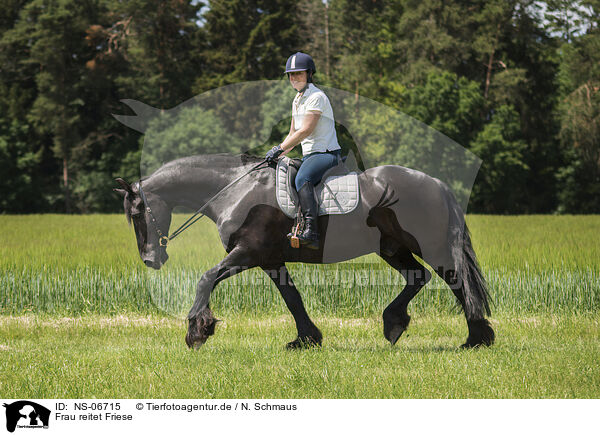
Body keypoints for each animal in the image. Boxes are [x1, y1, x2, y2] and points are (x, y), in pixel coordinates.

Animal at [115, 153, 494, 350]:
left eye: (137, 213)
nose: (151, 259)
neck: (233, 191)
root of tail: (437, 184)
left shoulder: (247, 253)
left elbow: (206, 278)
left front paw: (197, 331)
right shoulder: (270, 260)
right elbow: (292, 298)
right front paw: (307, 339)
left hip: (429, 247)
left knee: (457, 283)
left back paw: (476, 338)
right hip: (391, 248)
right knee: (419, 278)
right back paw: (394, 324)